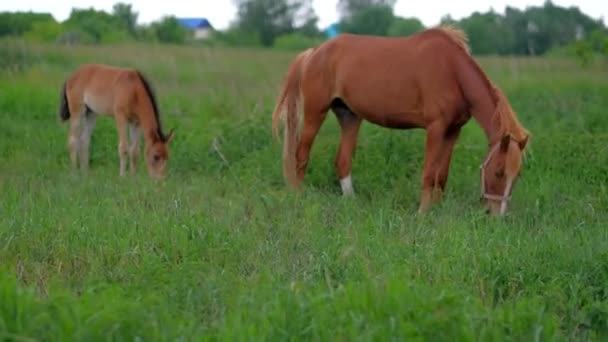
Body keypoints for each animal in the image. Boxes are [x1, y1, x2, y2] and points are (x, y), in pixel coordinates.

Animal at [274, 26, 528, 216]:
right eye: (499, 172)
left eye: (518, 175)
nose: (497, 215)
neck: (453, 72)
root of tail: (314, 52)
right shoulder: (435, 128)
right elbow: (429, 173)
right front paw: (422, 214)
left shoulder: (453, 131)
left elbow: (442, 175)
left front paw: (437, 210)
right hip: (315, 113)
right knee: (301, 156)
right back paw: (298, 197)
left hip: (349, 117)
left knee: (342, 161)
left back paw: (352, 202)